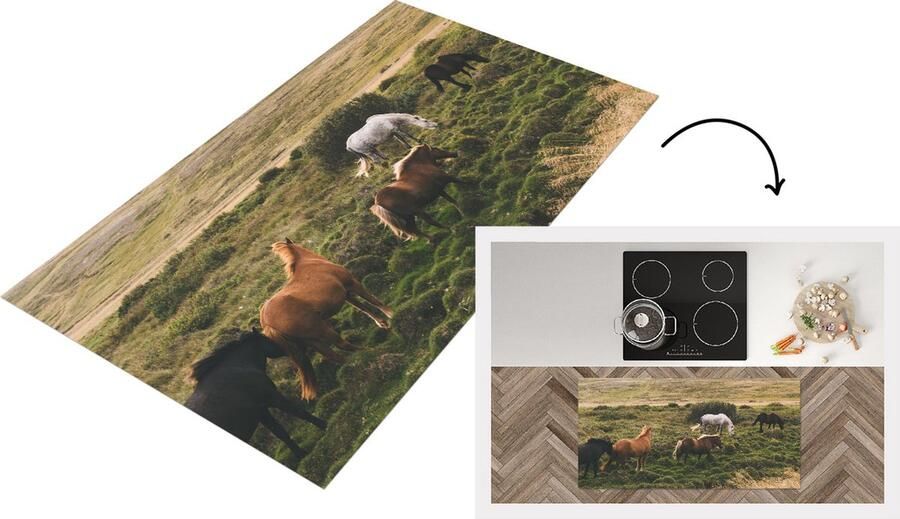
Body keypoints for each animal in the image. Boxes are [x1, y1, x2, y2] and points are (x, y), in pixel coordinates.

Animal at [184, 330, 327, 465]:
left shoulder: (262, 411)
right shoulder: (273, 398)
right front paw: (324, 425)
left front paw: (301, 454)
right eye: (269, 338)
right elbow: (300, 413)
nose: (301, 346)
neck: (238, 368)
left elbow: (280, 433)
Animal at [259, 238, 393, 400]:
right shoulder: (352, 284)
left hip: (311, 340)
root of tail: (267, 322)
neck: (310, 263)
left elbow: (364, 308)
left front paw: (382, 323)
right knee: (342, 345)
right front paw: (390, 314)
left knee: (334, 355)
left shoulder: (347, 294)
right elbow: (373, 300)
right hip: (321, 331)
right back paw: (369, 351)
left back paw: (357, 359)